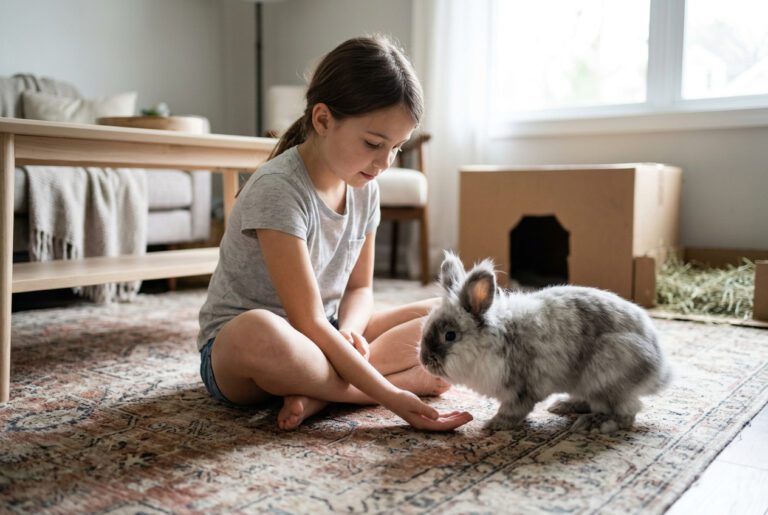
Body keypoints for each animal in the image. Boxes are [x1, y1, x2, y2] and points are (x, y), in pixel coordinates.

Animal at [419, 252, 671, 433]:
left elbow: (513, 411)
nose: (424, 360)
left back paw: (592, 424)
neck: (498, 338)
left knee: (627, 413)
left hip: (605, 375)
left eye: (450, 336)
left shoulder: (521, 388)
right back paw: (563, 406)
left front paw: (493, 425)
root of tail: (658, 369)